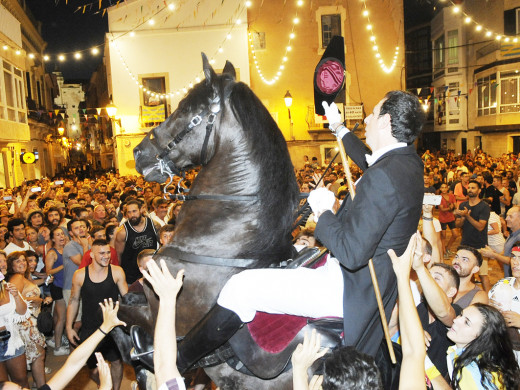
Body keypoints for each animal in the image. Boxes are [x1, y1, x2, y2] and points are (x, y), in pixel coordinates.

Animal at [113, 53, 322, 388]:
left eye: (186, 110)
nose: (139, 152)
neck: (225, 237)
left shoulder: (162, 312)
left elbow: (123, 310)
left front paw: (136, 351)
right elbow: (125, 298)